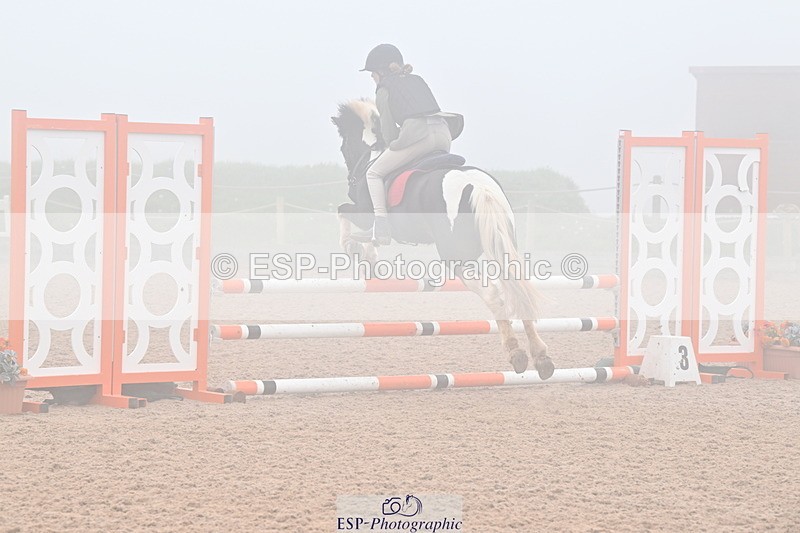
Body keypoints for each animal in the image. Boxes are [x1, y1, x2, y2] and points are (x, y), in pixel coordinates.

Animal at [331, 99, 553, 378]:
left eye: (344, 144)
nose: (351, 177)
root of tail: (478, 186)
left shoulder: (363, 212)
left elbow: (344, 214)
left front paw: (358, 252)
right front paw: (367, 257)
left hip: (457, 258)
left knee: (493, 295)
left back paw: (516, 353)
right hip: (501, 245)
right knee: (517, 290)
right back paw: (541, 357)